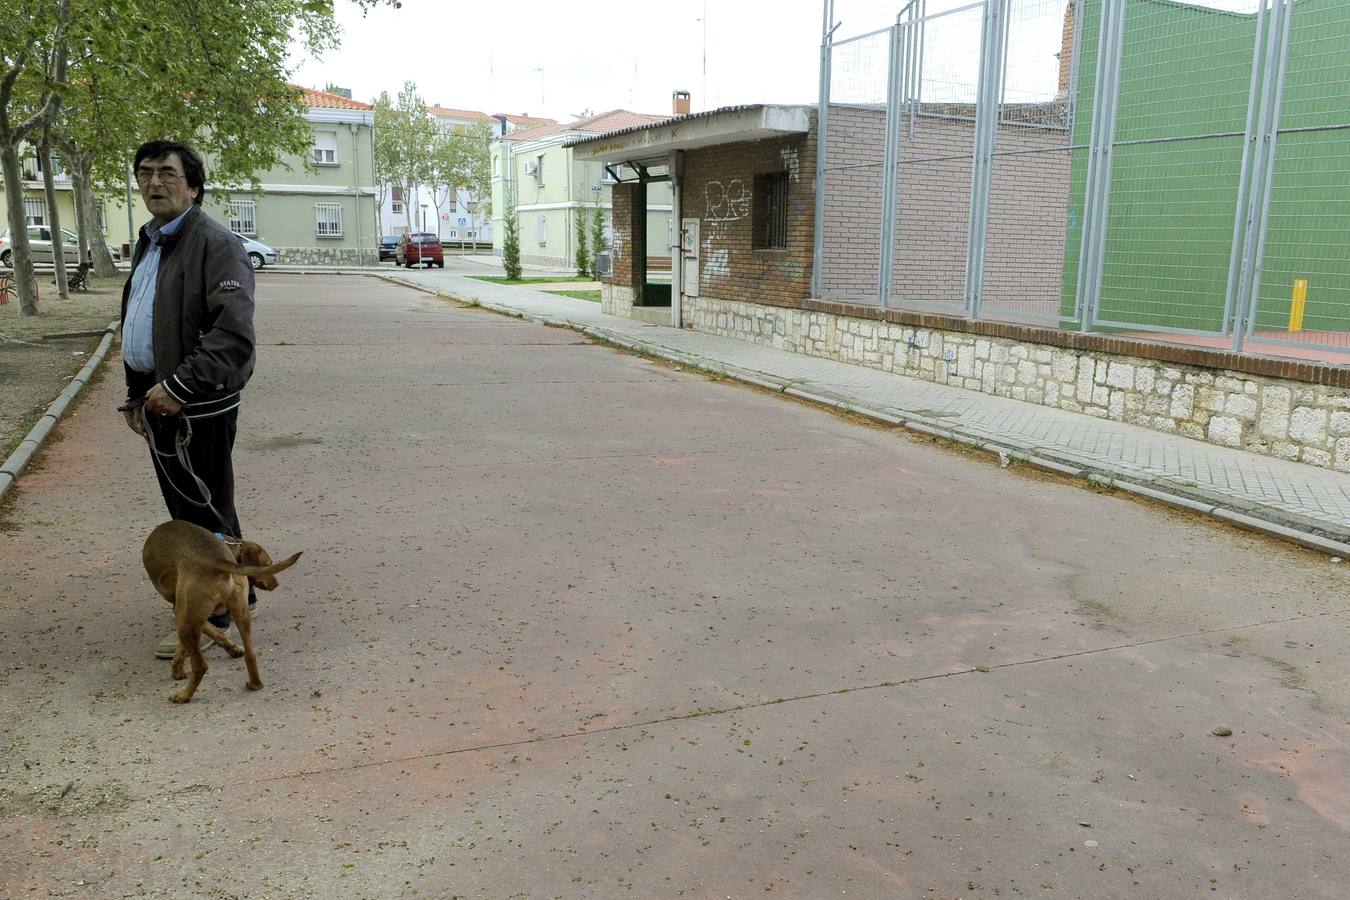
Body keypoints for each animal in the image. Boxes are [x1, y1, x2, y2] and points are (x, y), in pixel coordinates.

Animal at [142, 520, 301, 701]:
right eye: (268, 564)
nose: (277, 584)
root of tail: (215, 561)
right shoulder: (191, 615)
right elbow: (208, 636)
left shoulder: (182, 612)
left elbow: (209, 632)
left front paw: (177, 670)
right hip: (240, 614)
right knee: (251, 654)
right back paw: (255, 684)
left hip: (184, 623)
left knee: (201, 666)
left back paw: (184, 696)